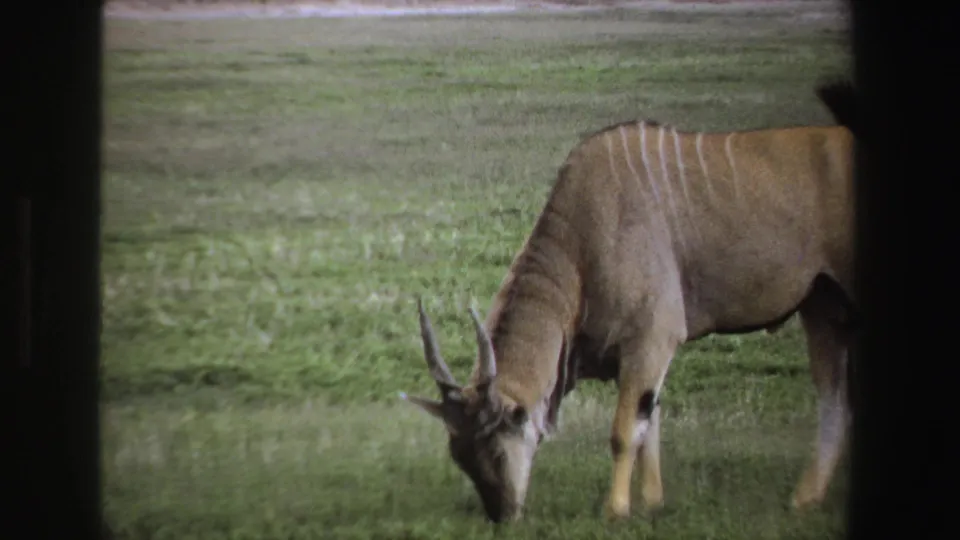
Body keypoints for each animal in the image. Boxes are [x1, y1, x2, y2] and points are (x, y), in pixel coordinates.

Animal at [401, 84, 857, 523]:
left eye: (496, 451)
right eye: (460, 458)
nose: (502, 515)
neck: (583, 241)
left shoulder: (652, 339)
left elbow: (624, 432)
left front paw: (616, 510)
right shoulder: (644, 354)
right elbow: (648, 424)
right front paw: (653, 503)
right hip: (823, 306)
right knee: (834, 400)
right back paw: (805, 498)